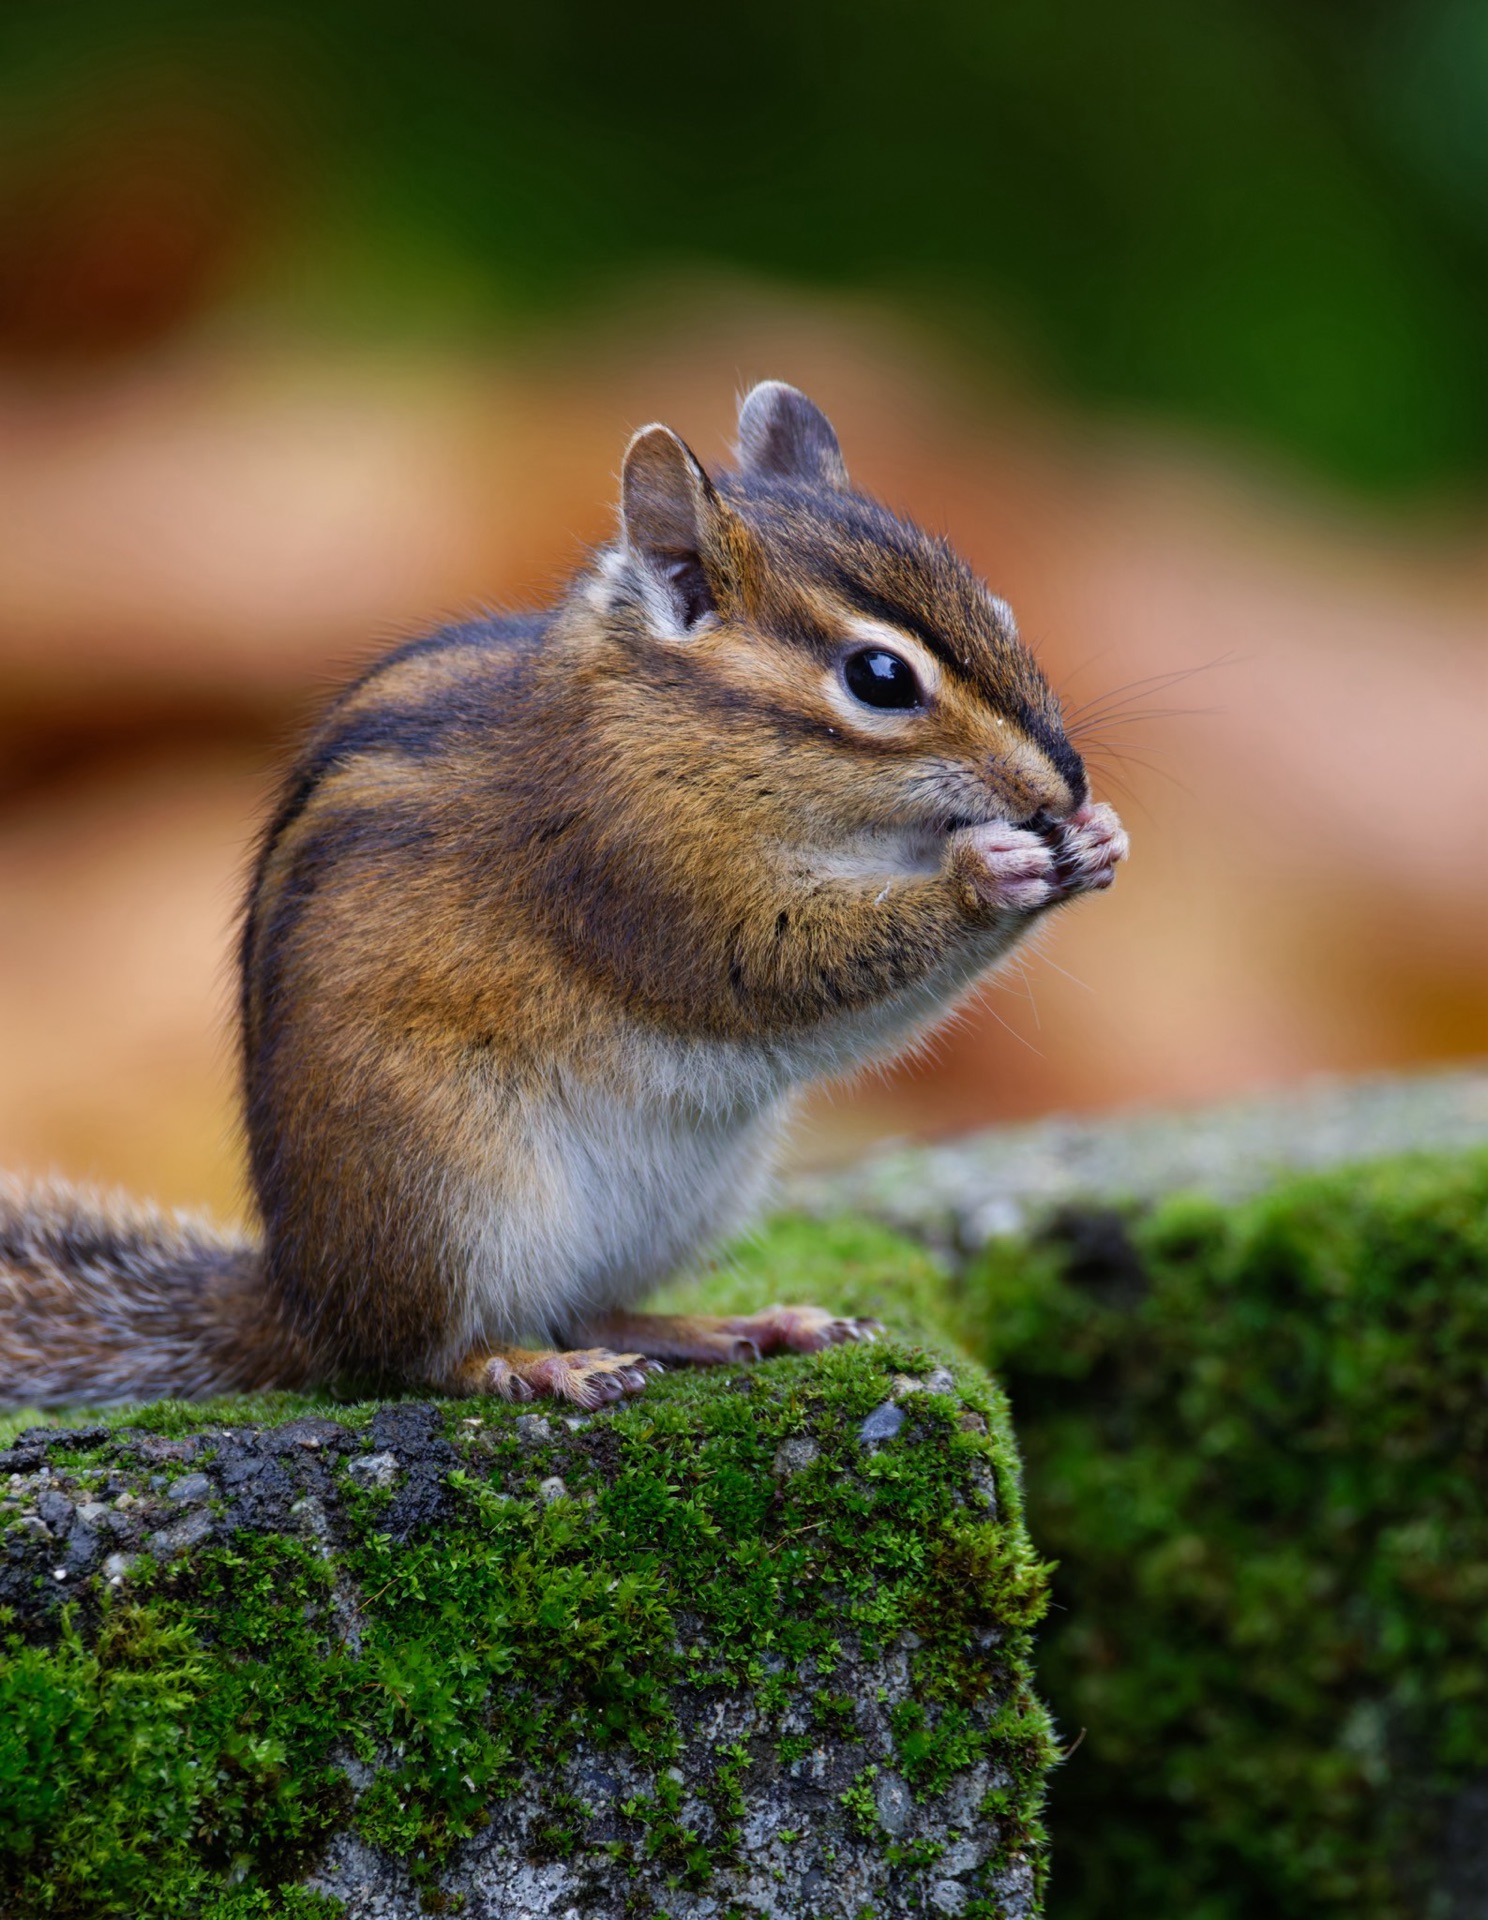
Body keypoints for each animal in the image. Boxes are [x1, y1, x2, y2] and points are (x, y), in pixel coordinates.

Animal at [0, 382, 1127, 1411]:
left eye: (999, 610)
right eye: (881, 678)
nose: (1065, 786)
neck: (673, 730)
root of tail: (301, 1301)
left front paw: (1099, 839)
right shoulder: (643, 875)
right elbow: (780, 965)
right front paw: (993, 871)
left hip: (684, 1200)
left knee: (590, 1303)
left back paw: (740, 1325)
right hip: (448, 1193)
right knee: (421, 1359)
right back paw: (537, 1367)